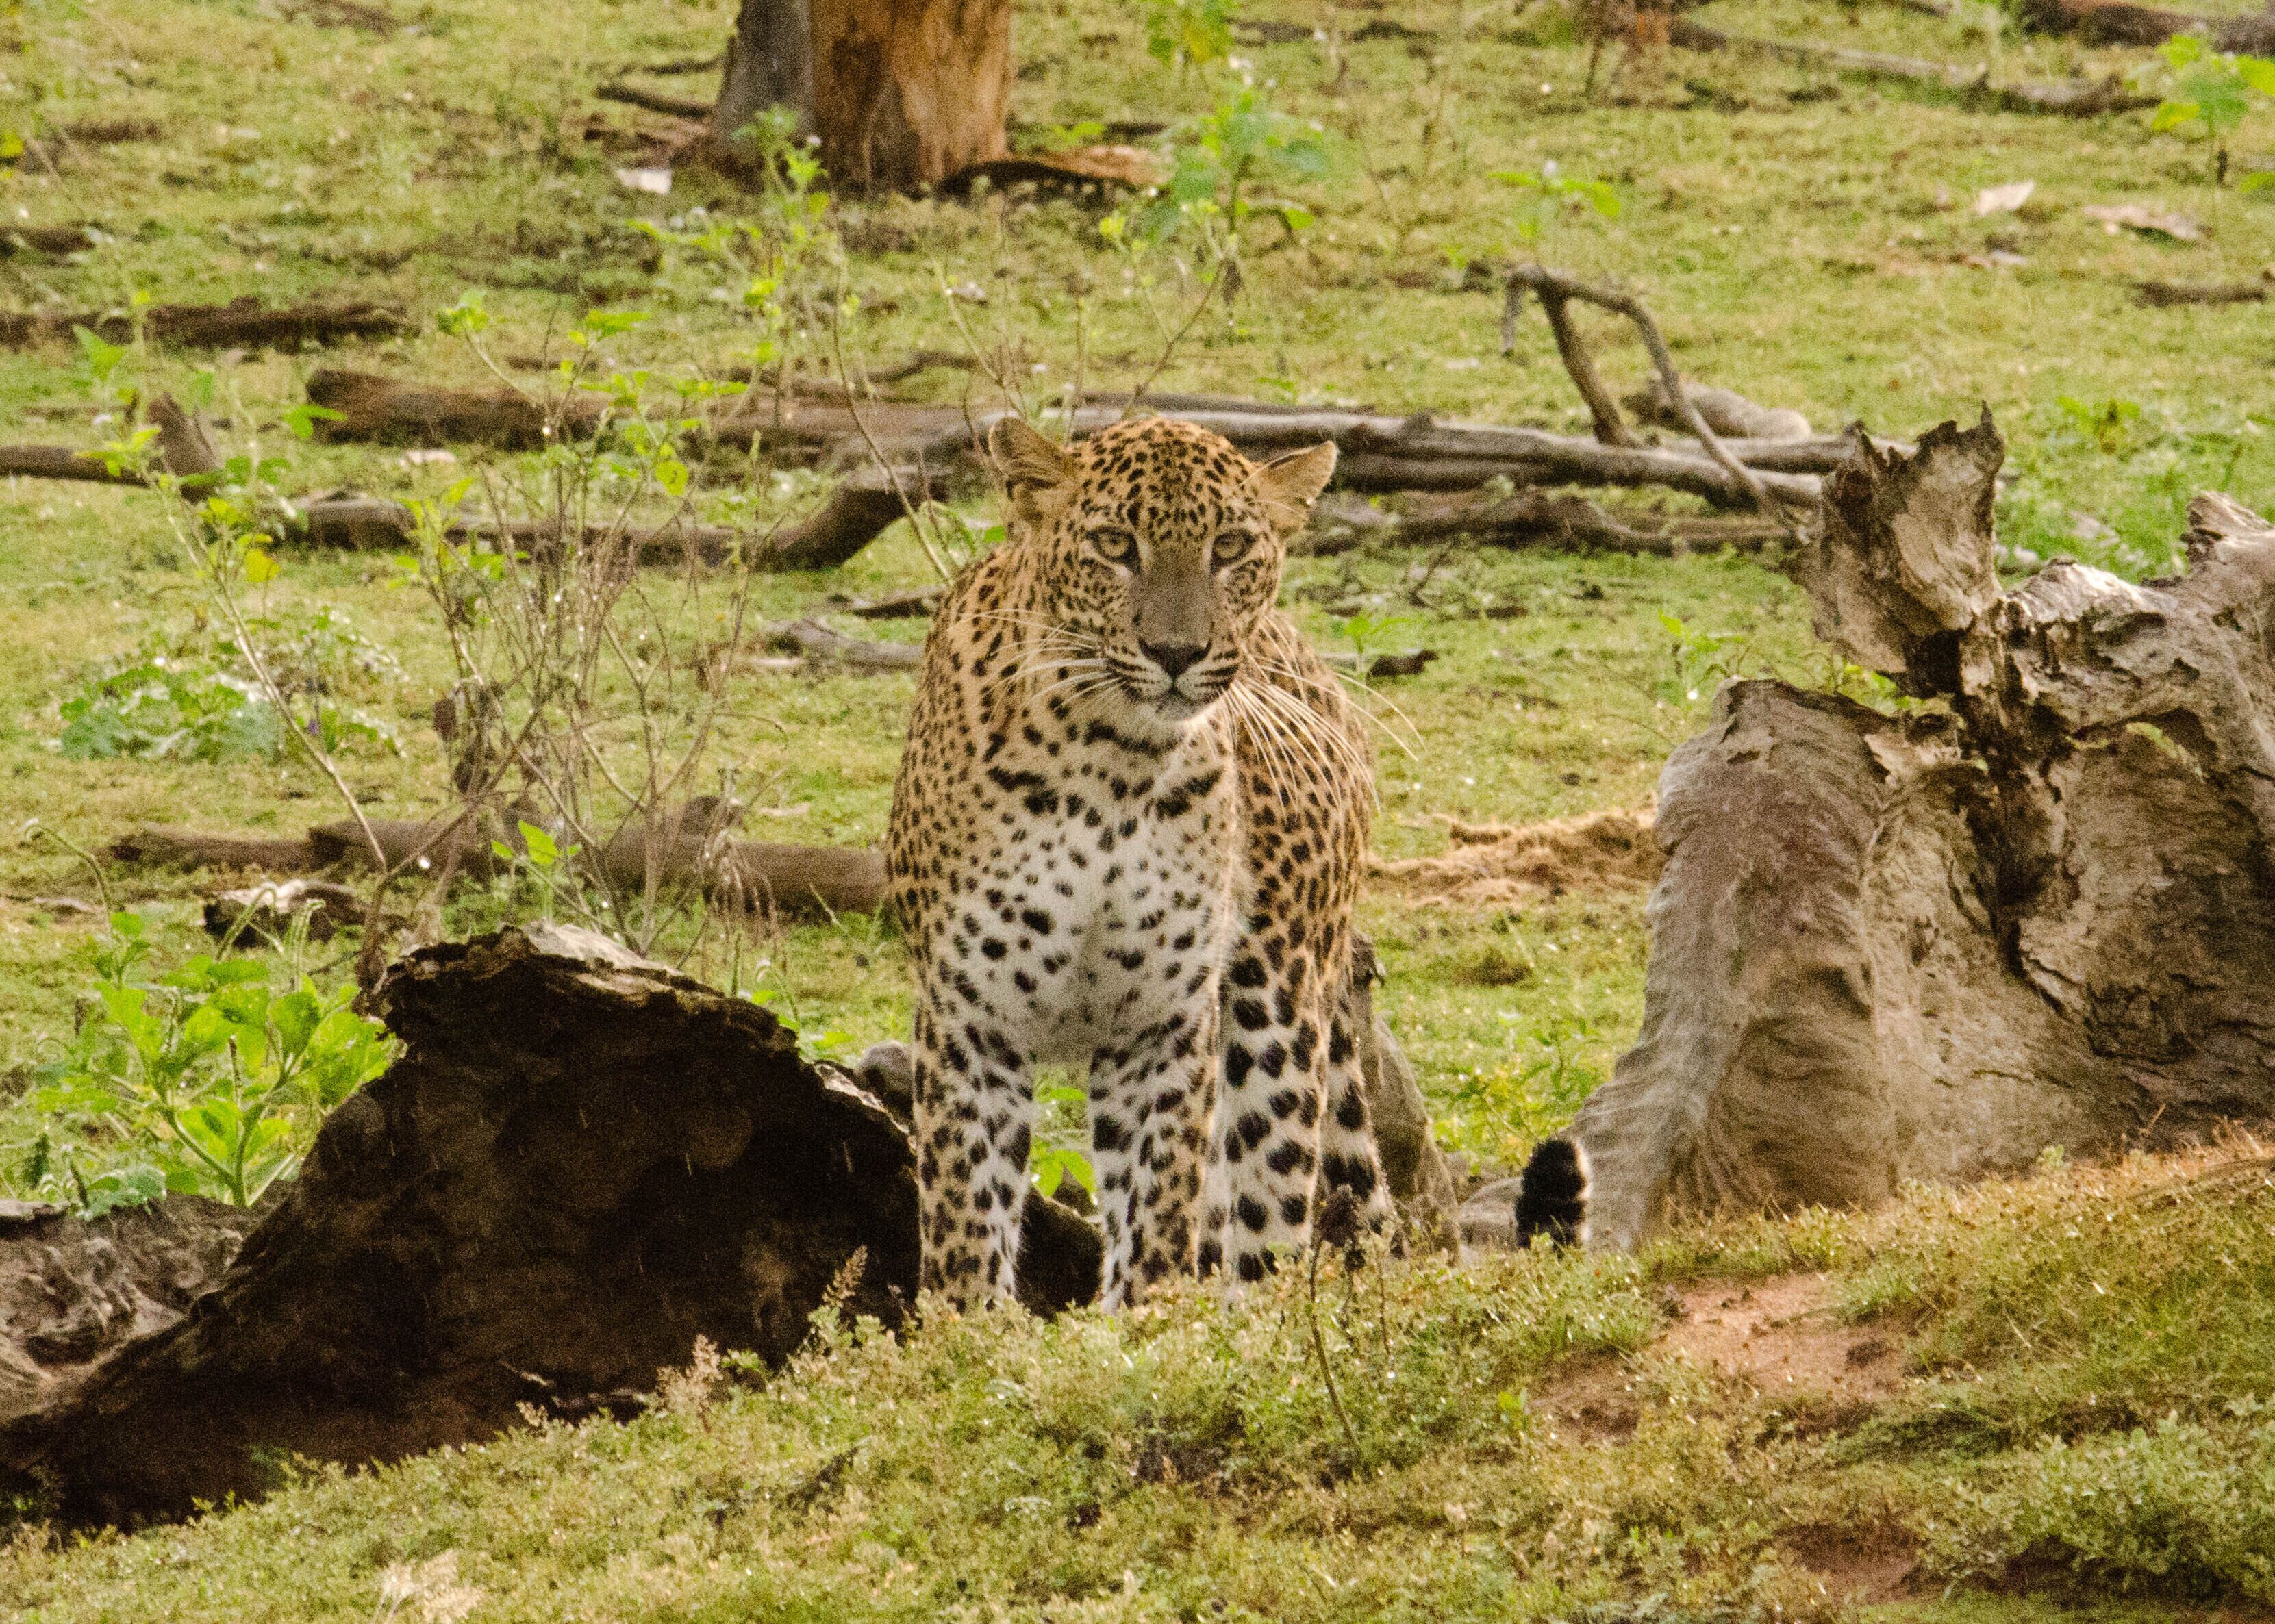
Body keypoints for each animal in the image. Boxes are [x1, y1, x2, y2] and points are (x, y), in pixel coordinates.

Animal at [886, 414, 1396, 1312]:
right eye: (1114, 544)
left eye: (1230, 546)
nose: (1175, 652)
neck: (1111, 766)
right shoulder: (968, 1021)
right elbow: (965, 1230)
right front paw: (966, 1335)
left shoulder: (1161, 1026)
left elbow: (1157, 1219)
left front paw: (1144, 1331)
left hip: (1279, 1011)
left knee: (1264, 1224)